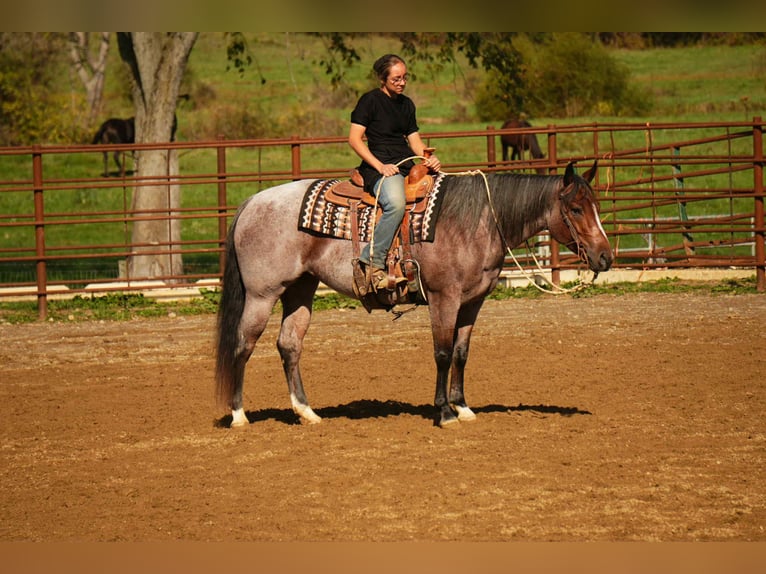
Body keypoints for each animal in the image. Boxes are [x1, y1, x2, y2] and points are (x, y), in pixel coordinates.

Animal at [215, 161, 613, 429]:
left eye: (596, 206)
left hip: (301, 288)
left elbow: (461, 353)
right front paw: (444, 412)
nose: (605, 257)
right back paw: (238, 415)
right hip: (262, 294)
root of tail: (252, 202)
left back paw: (307, 412)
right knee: (243, 345)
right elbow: (442, 352)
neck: (476, 221)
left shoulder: (473, 301)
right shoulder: (443, 297)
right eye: (576, 208)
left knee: (289, 345)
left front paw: (463, 407)